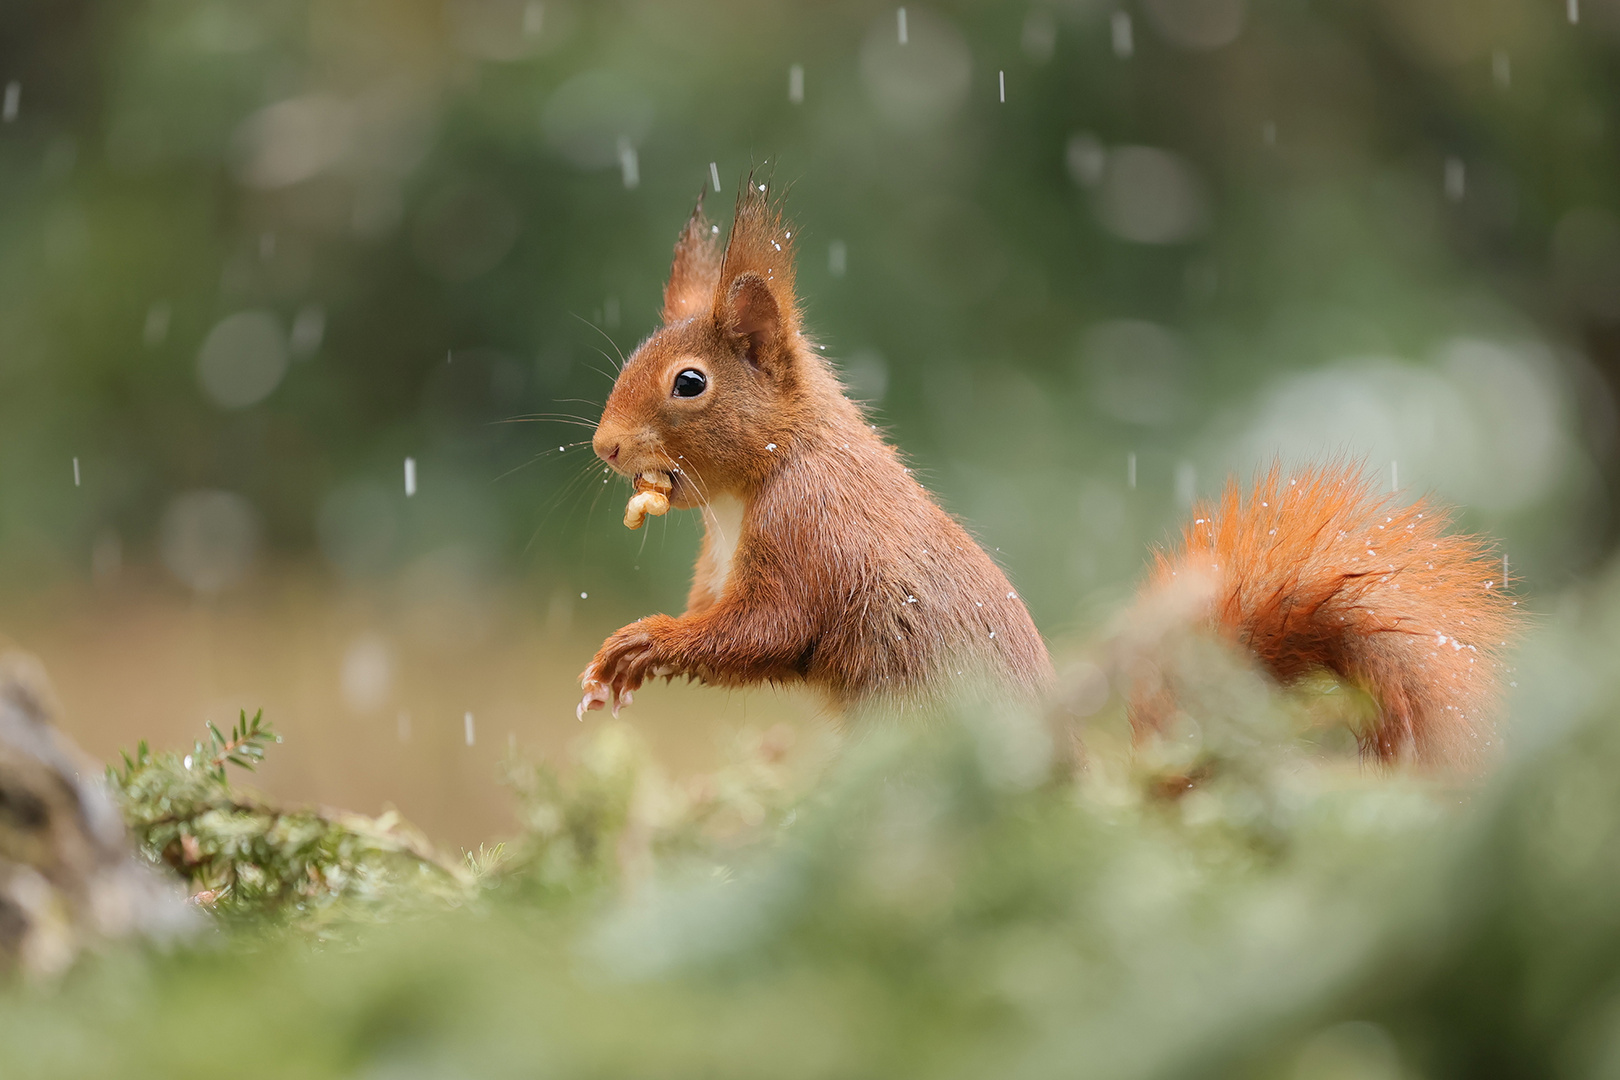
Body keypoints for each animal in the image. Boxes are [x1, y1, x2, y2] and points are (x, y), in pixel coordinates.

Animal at [583, 183, 1516, 767]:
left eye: (690, 383)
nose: (605, 447)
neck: (759, 480)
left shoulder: (814, 534)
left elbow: (768, 628)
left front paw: (644, 642)